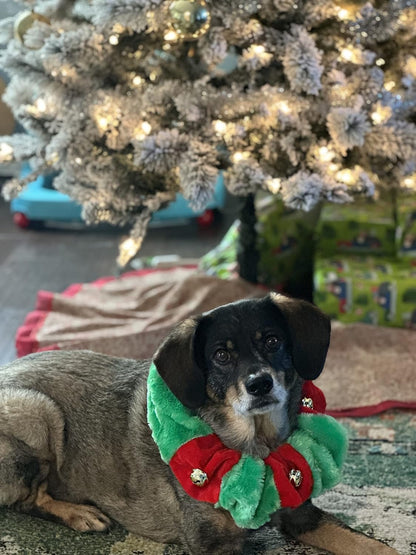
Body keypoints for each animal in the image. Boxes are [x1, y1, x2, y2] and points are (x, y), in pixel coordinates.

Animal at [0, 294, 396, 552]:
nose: (260, 384)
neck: (256, 444)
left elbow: (367, 543)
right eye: (220, 355)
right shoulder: (214, 543)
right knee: (27, 499)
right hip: (38, 410)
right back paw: (79, 514)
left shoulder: (302, 514)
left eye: (273, 341)